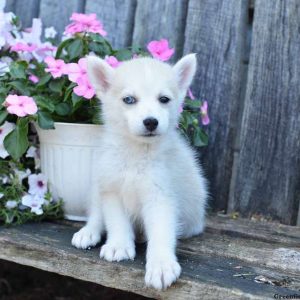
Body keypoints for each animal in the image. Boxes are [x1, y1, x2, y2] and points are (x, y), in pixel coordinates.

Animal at [72, 52, 209, 290]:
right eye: (129, 100)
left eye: (164, 99)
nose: (151, 122)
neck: (136, 154)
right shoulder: (112, 191)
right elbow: (116, 221)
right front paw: (118, 245)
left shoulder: (161, 197)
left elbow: (161, 232)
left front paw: (161, 264)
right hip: (99, 183)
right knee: (96, 213)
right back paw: (88, 232)